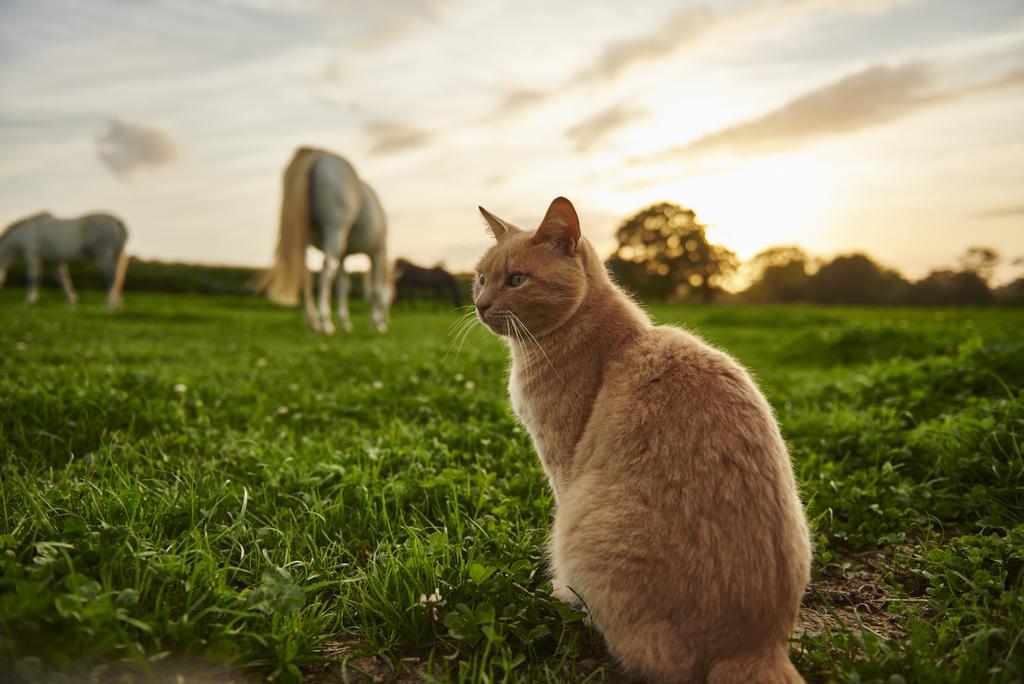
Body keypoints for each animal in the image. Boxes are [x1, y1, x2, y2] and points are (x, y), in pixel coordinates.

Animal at [0, 211, 130, 309]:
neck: (24, 233)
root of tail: (116, 221)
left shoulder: (32, 255)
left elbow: (33, 277)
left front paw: (29, 300)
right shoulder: (55, 261)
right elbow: (64, 280)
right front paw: (72, 301)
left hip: (104, 256)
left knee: (113, 278)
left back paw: (109, 303)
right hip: (115, 255)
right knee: (118, 278)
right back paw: (117, 304)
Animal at [260, 147, 391, 333]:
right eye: (393, 298)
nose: (388, 320)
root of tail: (317, 154)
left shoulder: (344, 255)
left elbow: (344, 285)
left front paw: (345, 322)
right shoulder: (378, 251)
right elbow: (376, 289)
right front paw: (378, 323)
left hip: (304, 235)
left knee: (305, 274)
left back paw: (313, 321)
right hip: (334, 230)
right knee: (325, 273)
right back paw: (325, 322)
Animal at [473, 197, 815, 684]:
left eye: (517, 279)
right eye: (482, 277)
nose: (480, 304)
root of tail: (756, 647)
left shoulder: (561, 464)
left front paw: (561, 590)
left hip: (582, 524)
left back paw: (564, 600)